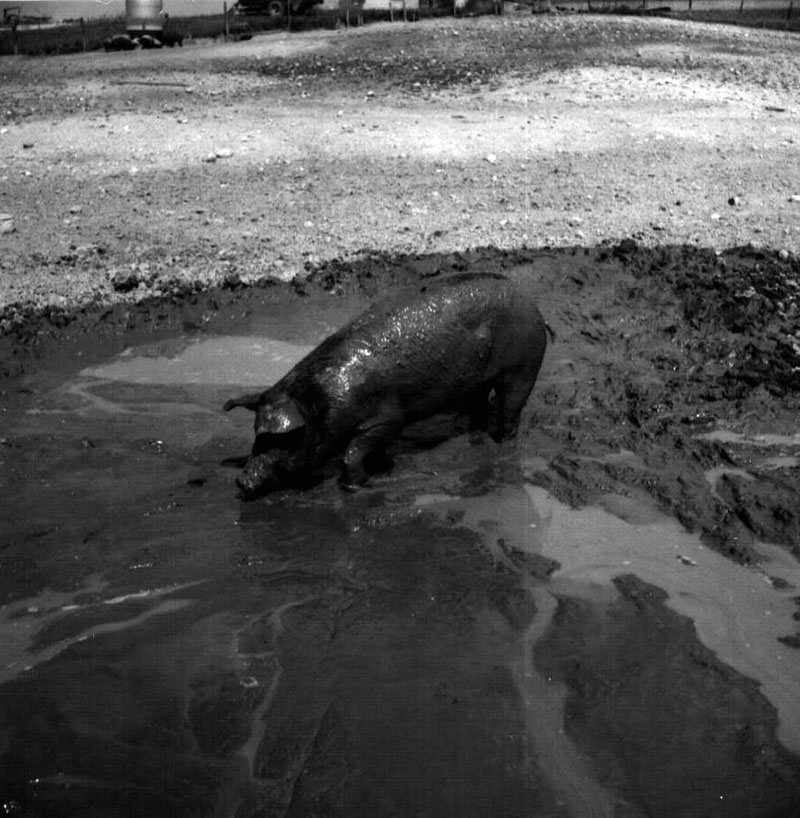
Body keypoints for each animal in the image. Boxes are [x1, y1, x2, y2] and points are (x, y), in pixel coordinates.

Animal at [225, 272, 552, 498]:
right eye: (256, 436)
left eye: (281, 440)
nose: (241, 481)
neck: (319, 402)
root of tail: (534, 305)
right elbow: (373, 449)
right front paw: (384, 466)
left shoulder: (388, 418)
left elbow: (352, 453)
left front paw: (357, 485)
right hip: (479, 380)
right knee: (479, 404)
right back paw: (474, 435)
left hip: (524, 365)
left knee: (511, 406)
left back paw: (503, 442)